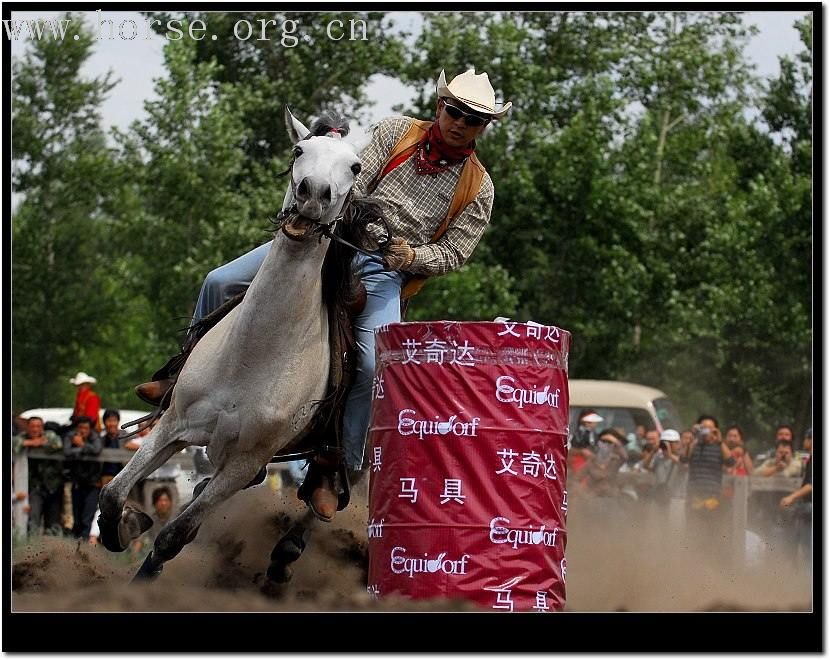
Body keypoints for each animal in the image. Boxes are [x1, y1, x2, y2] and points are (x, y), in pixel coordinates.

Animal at [99, 107, 378, 584]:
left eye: (355, 167)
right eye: (298, 150)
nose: (313, 194)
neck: (253, 355)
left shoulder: (244, 461)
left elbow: (175, 535)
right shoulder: (173, 426)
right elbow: (113, 494)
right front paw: (127, 526)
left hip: (351, 461)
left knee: (328, 495)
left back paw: (286, 553)